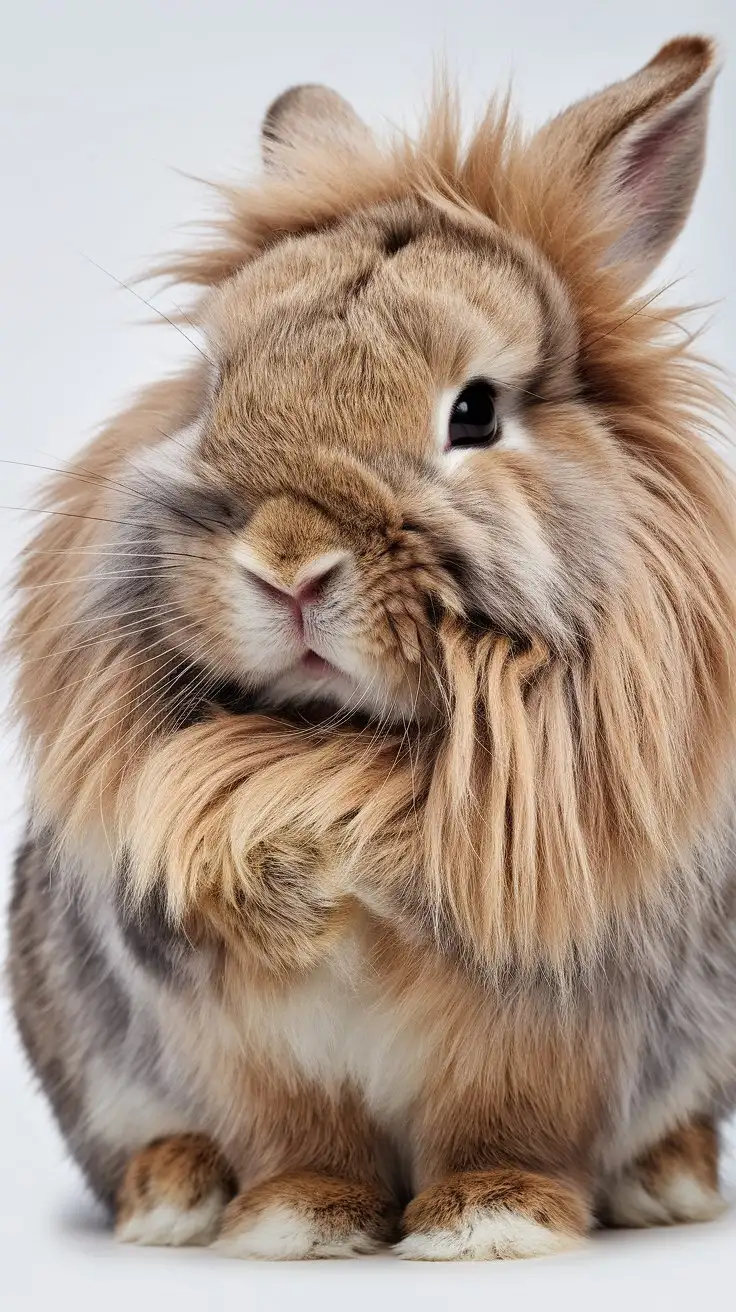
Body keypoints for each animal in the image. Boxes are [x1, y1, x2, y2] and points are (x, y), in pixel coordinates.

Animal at [5, 33, 734, 1259]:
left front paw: (486, 1221)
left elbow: (505, 1123)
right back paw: (174, 1194)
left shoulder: (539, 1037)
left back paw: (672, 1179)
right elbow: (303, 1133)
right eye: (216, 389)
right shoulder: (249, 1043)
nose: (290, 563)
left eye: (475, 412)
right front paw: (296, 1222)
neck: (339, 737)